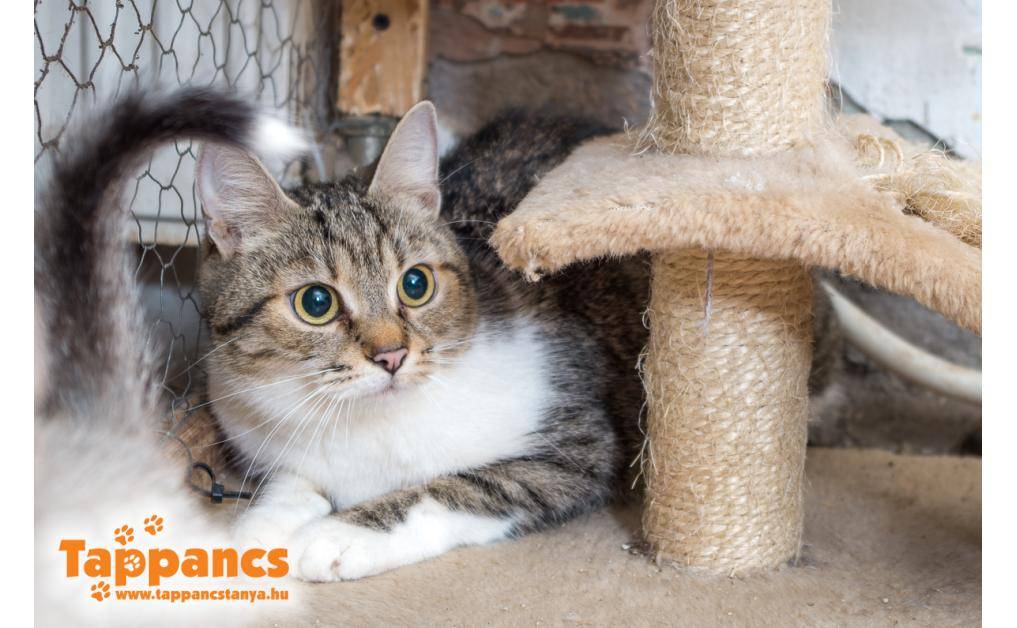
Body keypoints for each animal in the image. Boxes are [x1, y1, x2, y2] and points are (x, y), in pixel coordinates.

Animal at [193, 101, 650, 581]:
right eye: (316, 301)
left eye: (416, 284)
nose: (391, 355)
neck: (365, 423)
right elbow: (290, 482)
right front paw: (261, 526)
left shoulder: (577, 444)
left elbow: (458, 488)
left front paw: (338, 534)